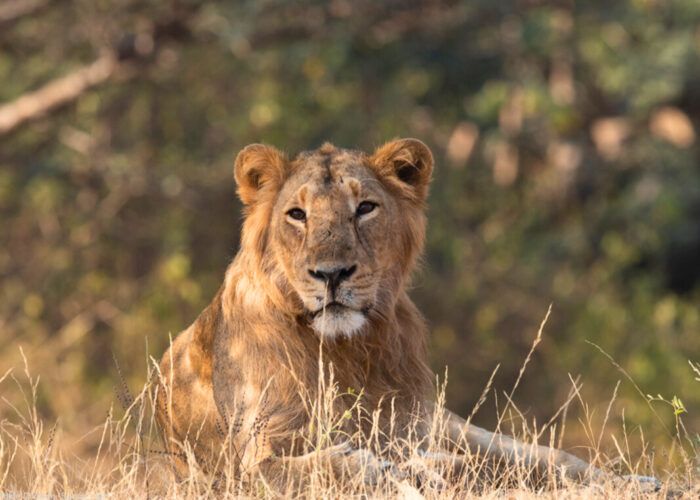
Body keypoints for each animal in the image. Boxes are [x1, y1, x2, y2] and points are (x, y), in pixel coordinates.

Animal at [154, 139, 656, 490]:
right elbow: (307, 469)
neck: (348, 351)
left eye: (365, 208)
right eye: (296, 214)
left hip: (445, 421)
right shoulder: (244, 462)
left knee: (544, 457)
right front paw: (381, 468)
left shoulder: (412, 423)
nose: (331, 274)